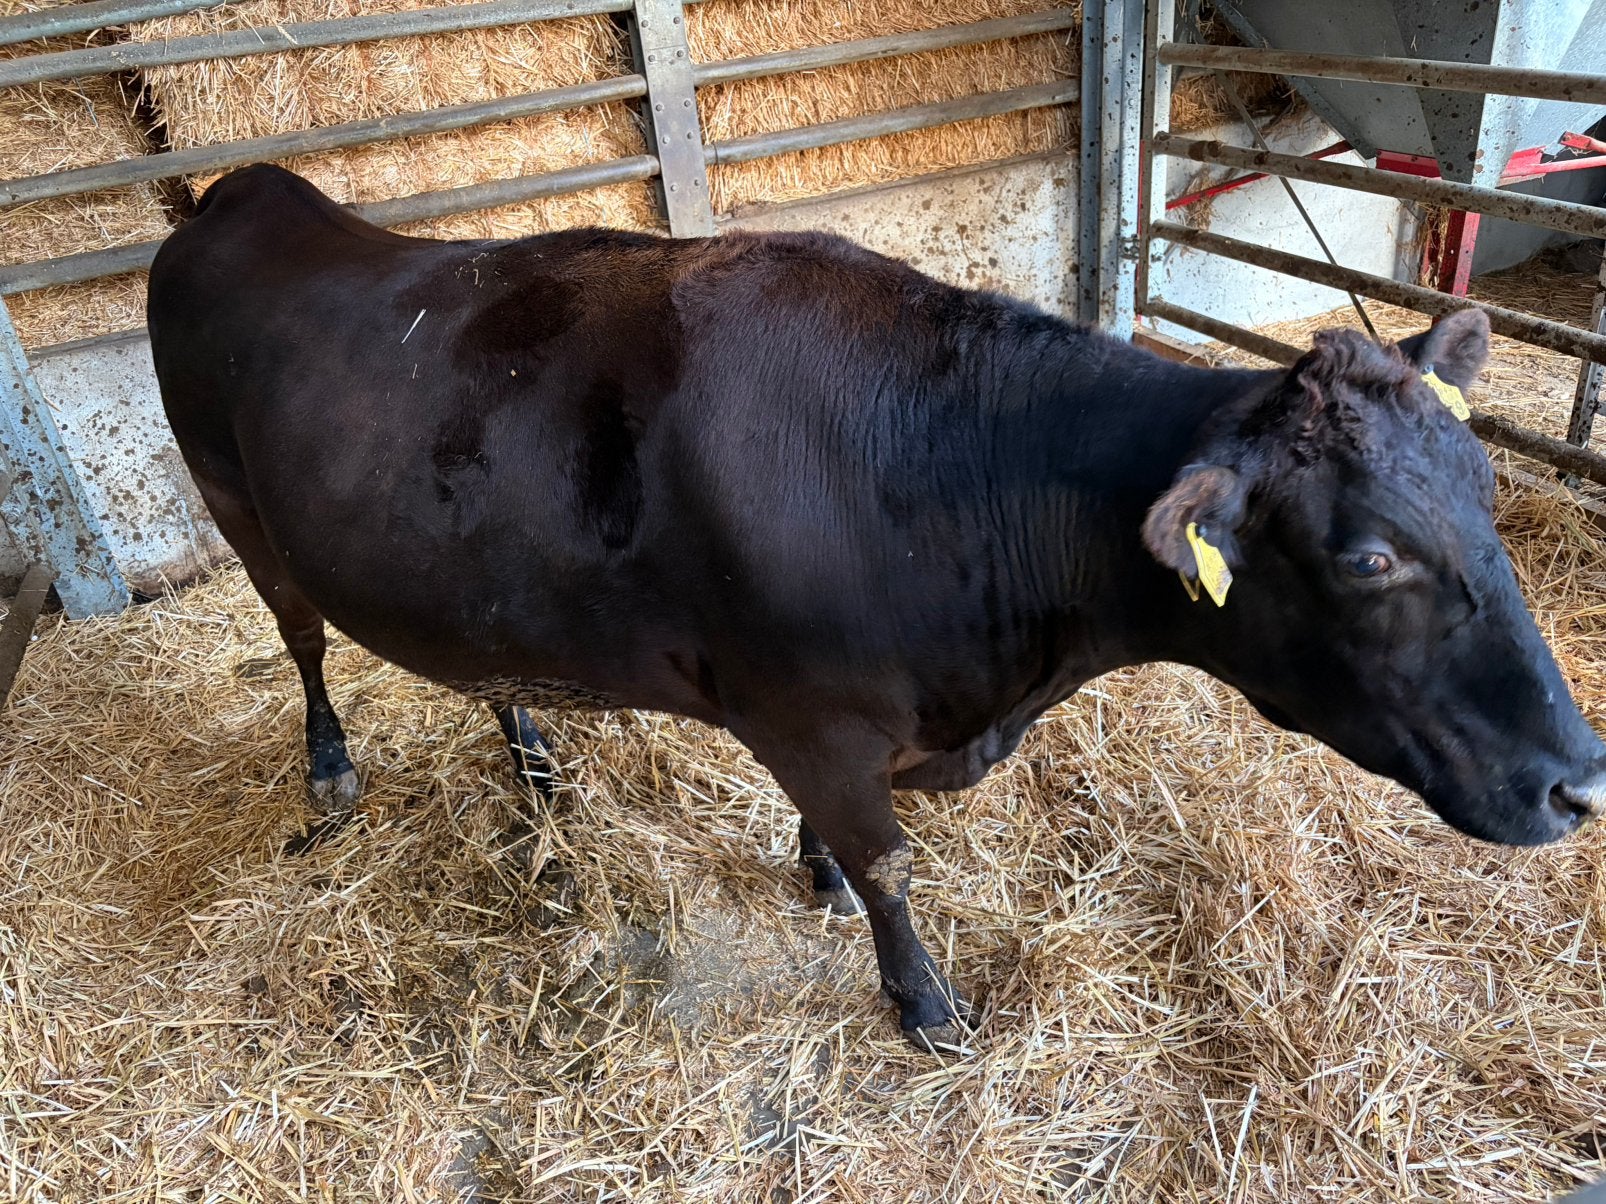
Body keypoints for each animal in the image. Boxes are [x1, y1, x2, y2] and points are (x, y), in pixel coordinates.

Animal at [148, 164, 1606, 1052]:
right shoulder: (815, 717)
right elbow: (891, 864)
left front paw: (813, 871)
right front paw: (922, 1002)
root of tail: (250, 191)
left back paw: (536, 759)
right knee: (301, 642)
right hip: (236, 508)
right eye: (1365, 561)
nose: (1580, 782)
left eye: (1487, 489)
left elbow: (844, 845)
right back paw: (330, 769)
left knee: (480, 666)